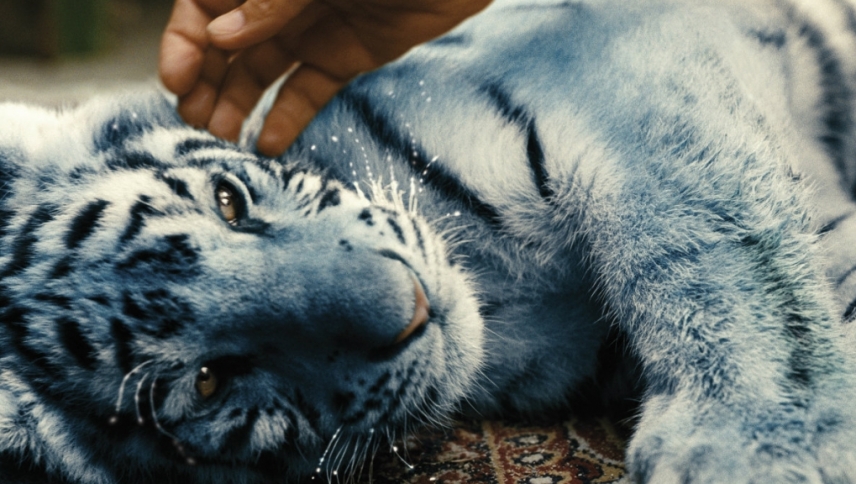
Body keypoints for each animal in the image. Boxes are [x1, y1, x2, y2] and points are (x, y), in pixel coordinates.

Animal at [3, 0, 856, 482]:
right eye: (211, 381)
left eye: (229, 201)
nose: (411, 306)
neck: (500, 296)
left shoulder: (609, 63)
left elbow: (712, 241)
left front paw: (761, 441)